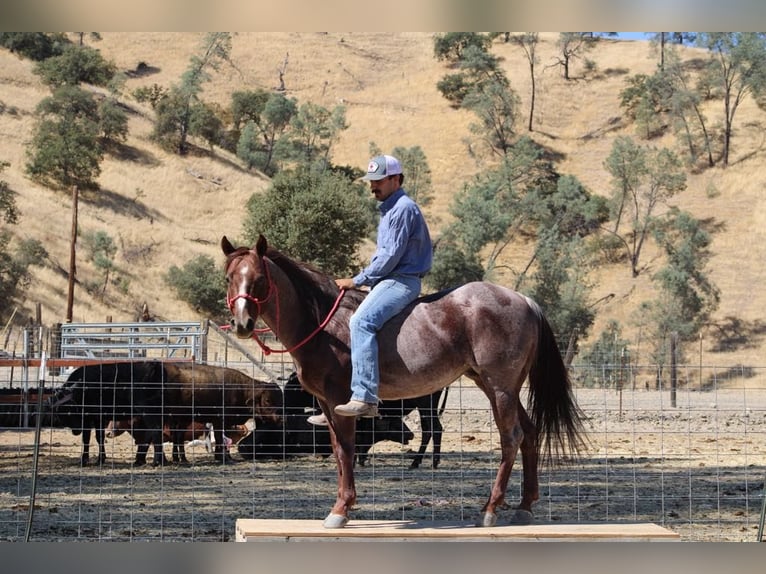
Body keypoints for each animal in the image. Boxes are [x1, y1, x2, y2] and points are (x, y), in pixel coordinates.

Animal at [221, 234, 586, 528]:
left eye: (258, 279)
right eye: (229, 278)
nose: (242, 323)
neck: (323, 321)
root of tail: (524, 300)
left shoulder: (340, 400)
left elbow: (347, 450)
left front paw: (340, 510)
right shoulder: (326, 403)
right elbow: (339, 450)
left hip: (499, 387)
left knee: (511, 438)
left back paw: (491, 509)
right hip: (498, 387)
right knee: (530, 433)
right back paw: (524, 507)